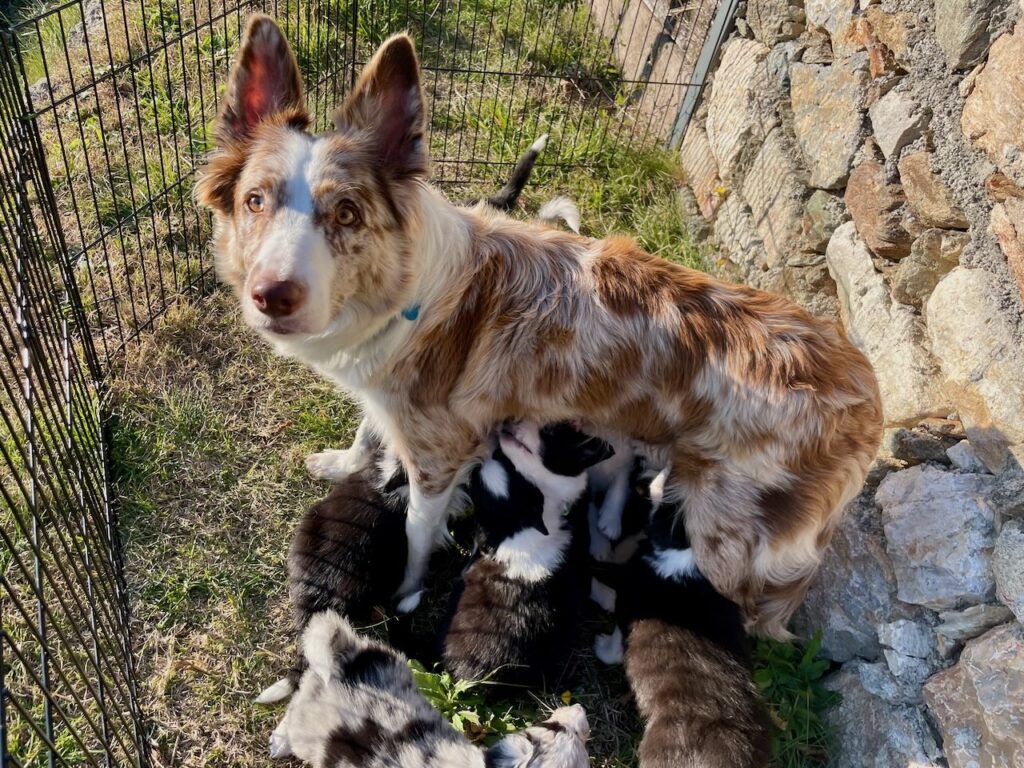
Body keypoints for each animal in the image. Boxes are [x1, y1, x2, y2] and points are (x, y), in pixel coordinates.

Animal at [195, 16, 884, 638]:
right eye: (255, 201)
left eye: (345, 213)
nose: (271, 296)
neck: (407, 288)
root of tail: (869, 396)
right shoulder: (392, 401)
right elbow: (368, 436)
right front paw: (343, 465)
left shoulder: (439, 456)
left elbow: (417, 534)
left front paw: (405, 590)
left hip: (727, 539)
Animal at [272, 610, 593, 765]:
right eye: (550, 727)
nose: (580, 709)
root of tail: (344, 660)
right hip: (306, 724)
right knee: (291, 712)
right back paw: (278, 743)